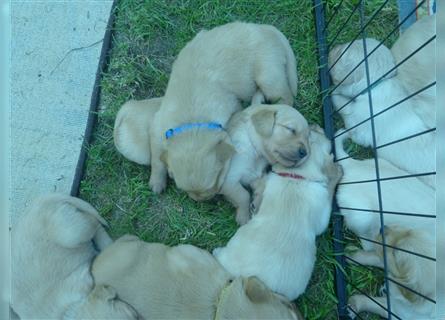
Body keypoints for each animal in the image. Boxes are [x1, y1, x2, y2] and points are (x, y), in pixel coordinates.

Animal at [147, 21, 296, 195]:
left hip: (268, 74)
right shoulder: (158, 124)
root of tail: (265, 28)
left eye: (217, 179)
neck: (192, 123)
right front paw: (156, 181)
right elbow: (157, 156)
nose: (204, 200)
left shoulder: (232, 106)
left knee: (286, 97)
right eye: (185, 190)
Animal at [328, 37, 436, 189]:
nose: (332, 47)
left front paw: (334, 91)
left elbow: (344, 105)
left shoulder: (361, 128)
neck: (378, 84)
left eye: (340, 51)